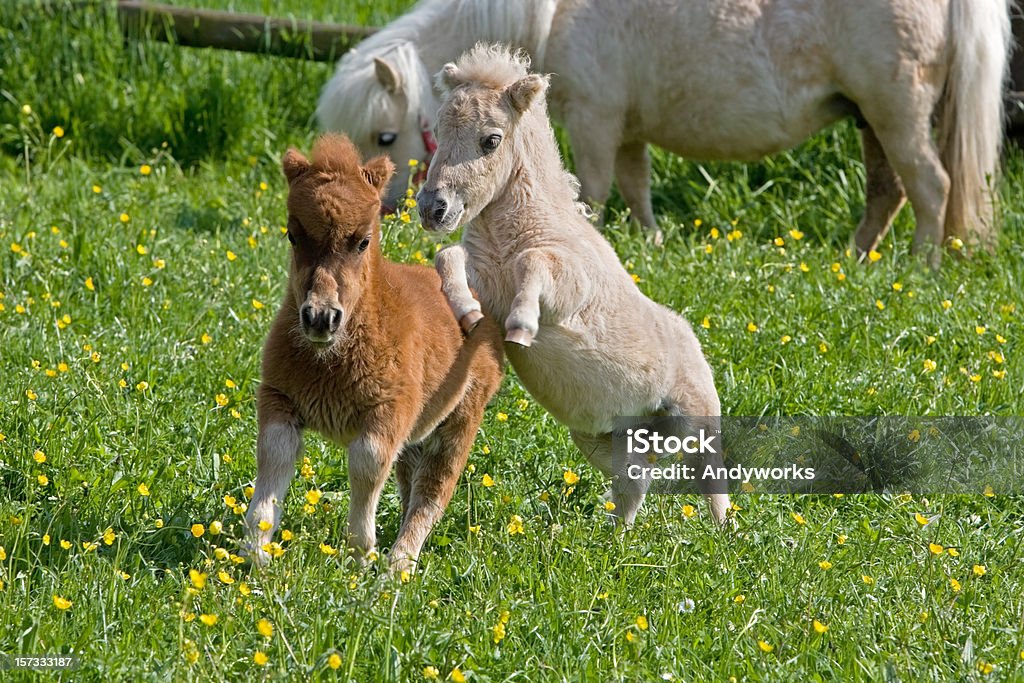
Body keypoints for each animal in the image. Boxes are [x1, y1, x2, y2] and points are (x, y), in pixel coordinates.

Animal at [317, 0, 1007, 264]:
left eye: (385, 138)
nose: (381, 214)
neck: (553, 12)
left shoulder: (596, 121)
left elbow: (595, 191)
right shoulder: (626, 130)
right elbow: (637, 187)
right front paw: (649, 243)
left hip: (896, 113)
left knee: (931, 186)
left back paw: (921, 265)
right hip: (871, 118)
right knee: (889, 190)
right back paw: (856, 260)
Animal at [417, 45, 737, 528]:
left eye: (490, 140)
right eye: (437, 130)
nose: (433, 208)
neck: (514, 235)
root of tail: (691, 335)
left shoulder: (568, 284)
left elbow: (534, 264)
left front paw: (522, 327)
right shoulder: (484, 278)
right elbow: (447, 258)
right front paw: (466, 313)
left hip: (697, 418)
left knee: (712, 476)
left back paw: (724, 532)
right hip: (602, 438)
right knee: (635, 479)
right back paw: (616, 536)